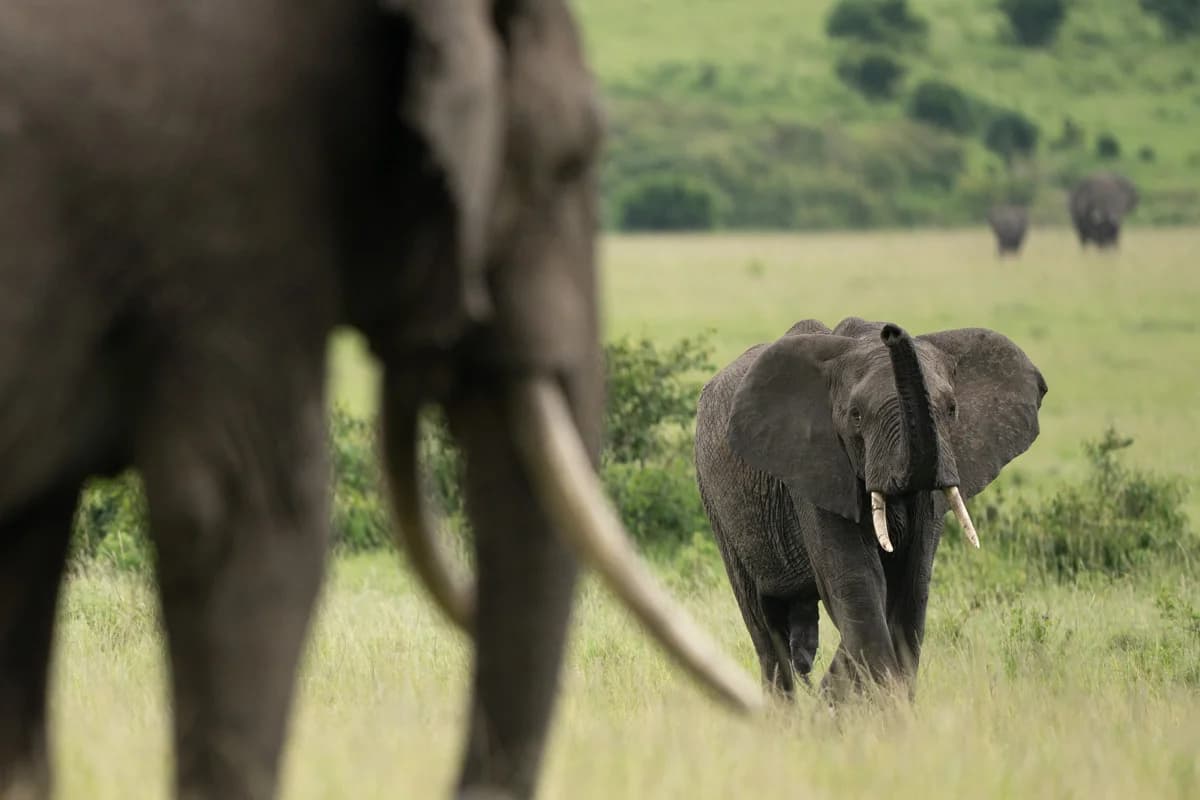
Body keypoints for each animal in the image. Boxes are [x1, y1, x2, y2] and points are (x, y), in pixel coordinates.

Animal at [694, 317, 1047, 701]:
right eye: (856, 416)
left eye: (952, 409)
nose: (892, 331)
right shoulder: (816, 470)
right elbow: (859, 586)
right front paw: (871, 705)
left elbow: (911, 590)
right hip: (715, 502)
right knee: (764, 628)